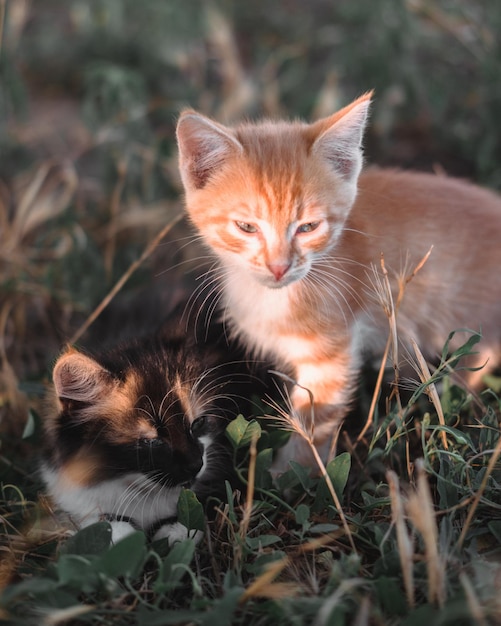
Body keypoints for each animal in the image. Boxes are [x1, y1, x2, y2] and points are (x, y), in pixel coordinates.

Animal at [174, 90, 500, 466]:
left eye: (308, 227)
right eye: (246, 227)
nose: (279, 267)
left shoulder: (332, 353)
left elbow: (315, 423)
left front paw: (291, 471)